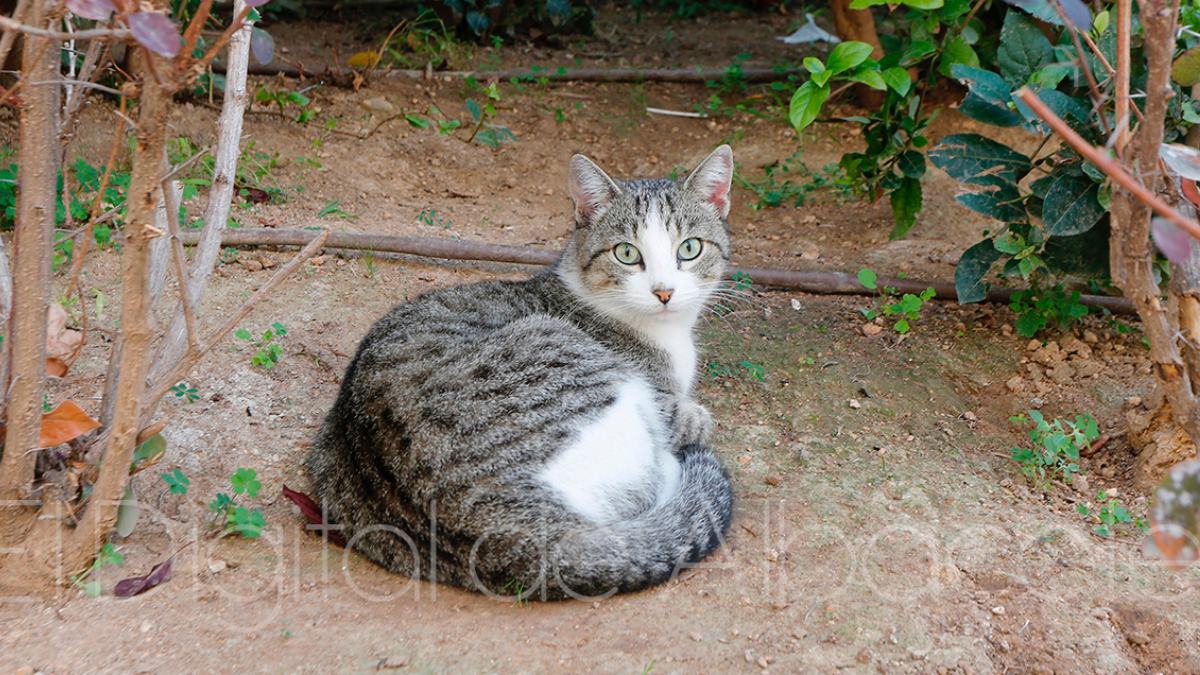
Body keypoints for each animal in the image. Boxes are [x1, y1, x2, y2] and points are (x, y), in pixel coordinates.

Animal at [307, 144, 739, 595]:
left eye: (689, 249)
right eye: (626, 253)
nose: (664, 292)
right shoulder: (660, 400)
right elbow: (688, 419)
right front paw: (694, 420)